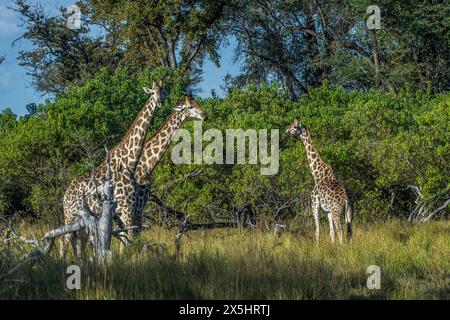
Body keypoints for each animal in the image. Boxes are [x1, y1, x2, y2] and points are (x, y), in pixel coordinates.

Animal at [60, 80, 163, 258]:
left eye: (163, 92)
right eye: (152, 93)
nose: (160, 103)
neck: (129, 161)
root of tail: (65, 195)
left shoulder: (128, 208)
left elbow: (125, 236)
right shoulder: (127, 207)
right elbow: (129, 235)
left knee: (77, 240)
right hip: (71, 214)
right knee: (64, 239)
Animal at [284, 117, 354, 245]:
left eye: (294, 126)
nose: (285, 132)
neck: (317, 175)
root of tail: (347, 199)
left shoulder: (315, 205)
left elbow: (317, 231)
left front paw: (317, 247)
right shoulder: (328, 211)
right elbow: (331, 232)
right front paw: (333, 246)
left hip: (336, 211)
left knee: (340, 230)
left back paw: (342, 248)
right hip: (350, 212)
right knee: (349, 232)